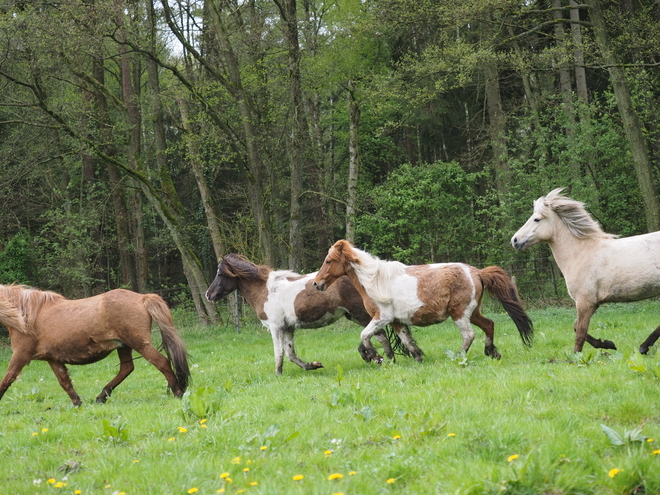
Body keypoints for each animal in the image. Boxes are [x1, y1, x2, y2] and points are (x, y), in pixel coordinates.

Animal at [0, 286, 191, 406]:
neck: (25, 315)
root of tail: (143, 298)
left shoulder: (20, 355)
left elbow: (7, 379)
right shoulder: (52, 359)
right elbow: (64, 382)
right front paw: (77, 403)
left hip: (140, 344)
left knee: (162, 363)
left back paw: (178, 392)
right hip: (124, 346)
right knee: (126, 368)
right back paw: (101, 397)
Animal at [206, 254, 412, 374]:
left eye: (220, 274)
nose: (209, 295)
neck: (266, 291)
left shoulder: (276, 327)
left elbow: (278, 352)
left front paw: (278, 374)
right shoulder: (288, 328)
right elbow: (290, 353)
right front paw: (313, 365)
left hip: (360, 313)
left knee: (380, 335)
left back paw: (382, 358)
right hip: (353, 315)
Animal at [312, 240, 532, 364]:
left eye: (329, 261)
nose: (316, 283)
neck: (375, 280)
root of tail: (477, 272)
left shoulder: (382, 317)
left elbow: (365, 335)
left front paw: (374, 356)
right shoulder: (396, 321)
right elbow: (407, 341)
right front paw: (416, 358)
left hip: (460, 314)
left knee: (469, 335)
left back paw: (458, 356)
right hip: (473, 312)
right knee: (489, 325)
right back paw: (491, 352)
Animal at [512, 188, 660, 354]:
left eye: (536, 219)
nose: (515, 240)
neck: (580, 252)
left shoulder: (584, 302)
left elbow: (580, 332)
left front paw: (577, 356)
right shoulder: (593, 304)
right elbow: (576, 327)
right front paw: (607, 344)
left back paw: (644, 346)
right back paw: (644, 346)